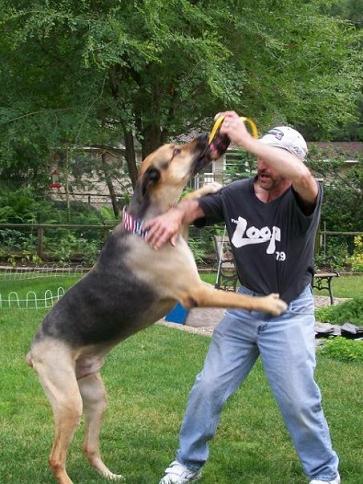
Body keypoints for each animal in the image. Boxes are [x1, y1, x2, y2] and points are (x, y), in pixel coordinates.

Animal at [25, 135, 288, 484]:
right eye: (176, 151)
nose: (203, 136)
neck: (149, 217)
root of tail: (33, 350)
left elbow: (186, 204)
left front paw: (209, 187)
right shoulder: (196, 292)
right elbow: (240, 299)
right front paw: (269, 302)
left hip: (95, 396)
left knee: (89, 446)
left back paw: (109, 475)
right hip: (69, 401)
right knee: (56, 457)